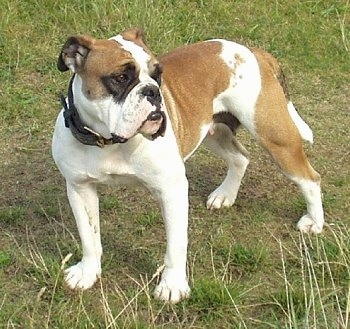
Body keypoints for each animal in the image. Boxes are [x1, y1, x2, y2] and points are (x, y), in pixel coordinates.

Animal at [52, 28, 326, 302]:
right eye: (120, 77)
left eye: (158, 75)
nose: (153, 91)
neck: (109, 142)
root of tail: (252, 51)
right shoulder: (80, 189)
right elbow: (89, 237)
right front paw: (87, 272)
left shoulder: (171, 190)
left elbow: (176, 244)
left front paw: (172, 285)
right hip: (213, 131)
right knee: (241, 157)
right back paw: (225, 195)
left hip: (275, 138)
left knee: (310, 178)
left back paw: (314, 222)